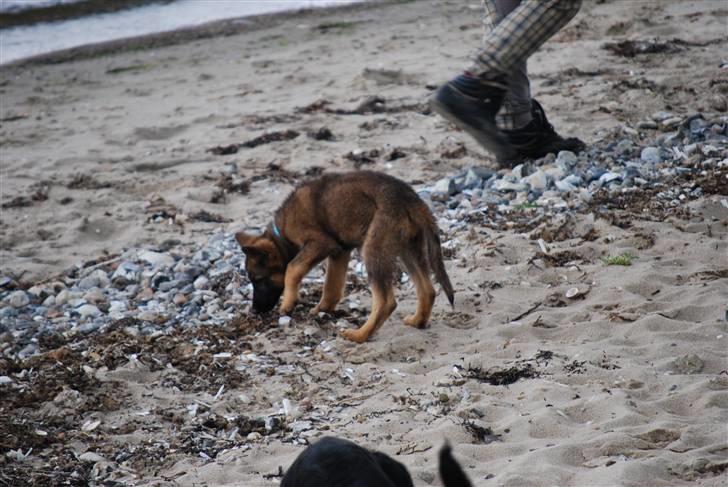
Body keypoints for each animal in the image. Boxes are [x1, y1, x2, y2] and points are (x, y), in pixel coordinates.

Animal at [236, 172, 452, 344]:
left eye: (258, 280)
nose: (254, 311)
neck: (281, 234)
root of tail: (412, 200)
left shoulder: (320, 243)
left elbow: (292, 269)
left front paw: (288, 304)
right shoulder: (339, 251)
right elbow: (331, 286)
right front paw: (322, 308)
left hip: (374, 250)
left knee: (386, 302)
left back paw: (359, 335)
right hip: (409, 250)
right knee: (428, 291)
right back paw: (418, 321)